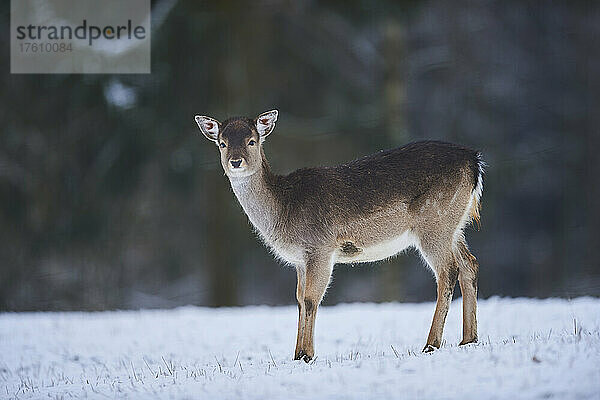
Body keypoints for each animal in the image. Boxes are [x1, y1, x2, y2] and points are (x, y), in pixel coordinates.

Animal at [195, 109, 486, 362]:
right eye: (222, 143)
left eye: (252, 141)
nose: (236, 161)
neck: (284, 212)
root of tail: (474, 162)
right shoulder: (300, 260)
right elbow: (299, 300)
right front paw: (297, 354)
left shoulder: (320, 247)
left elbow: (311, 298)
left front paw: (306, 355)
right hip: (454, 226)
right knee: (469, 264)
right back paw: (468, 339)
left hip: (433, 222)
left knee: (448, 271)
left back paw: (431, 344)